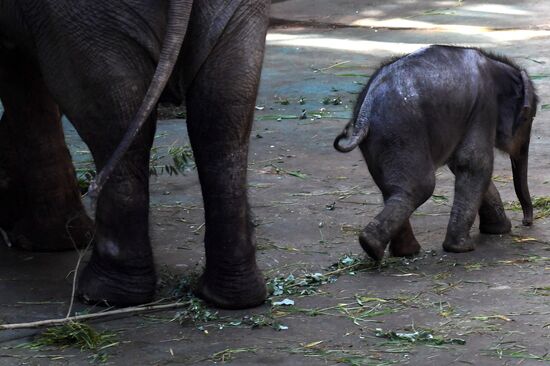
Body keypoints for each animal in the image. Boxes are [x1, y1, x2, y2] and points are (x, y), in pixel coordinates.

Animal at [336, 45, 540, 260]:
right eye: (528, 118)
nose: (526, 222)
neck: (497, 64)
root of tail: (365, 110)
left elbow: (462, 165)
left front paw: (498, 230)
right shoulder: (484, 107)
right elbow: (475, 164)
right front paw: (462, 247)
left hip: (381, 141)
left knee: (393, 189)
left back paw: (397, 251)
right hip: (402, 133)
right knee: (420, 186)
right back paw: (375, 247)